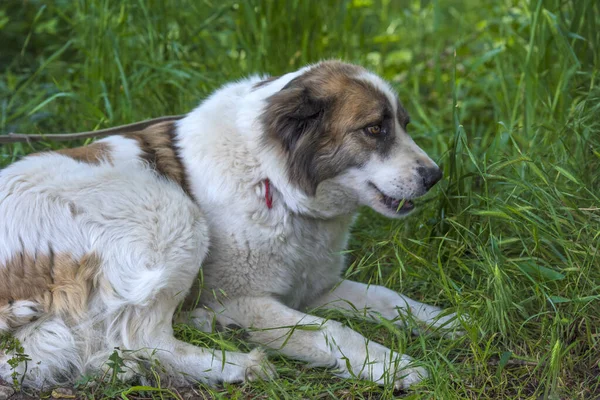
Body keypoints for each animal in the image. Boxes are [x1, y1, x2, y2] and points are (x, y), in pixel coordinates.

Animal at [0, 61, 462, 390]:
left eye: (403, 125)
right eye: (374, 129)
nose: (435, 175)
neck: (271, 178)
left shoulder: (314, 289)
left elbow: (389, 299)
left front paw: (447, 322)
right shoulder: (242, 297)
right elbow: (332, 330)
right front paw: (392, 365)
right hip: (173, 209)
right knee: (141, 338)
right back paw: (238, 364)